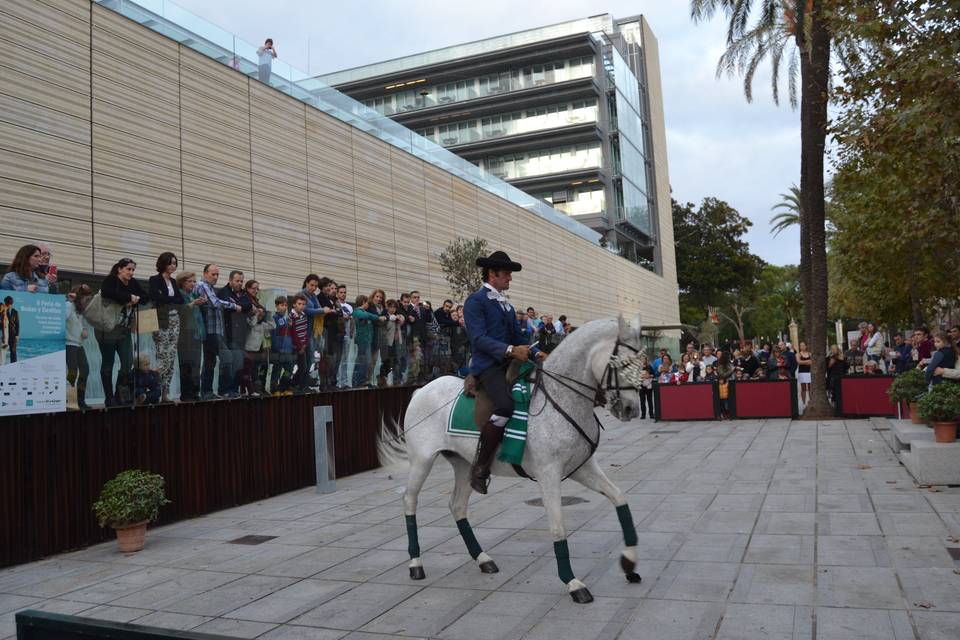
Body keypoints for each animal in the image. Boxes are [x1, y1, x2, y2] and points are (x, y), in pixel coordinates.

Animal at [380, 316, 644, 604]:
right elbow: (557, 527)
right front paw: (573, 583)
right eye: (622, 364)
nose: (631, 409)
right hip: (422, 460)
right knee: (409, 500)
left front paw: (629, 564)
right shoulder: (549, 475)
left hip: (463, 464)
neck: (560, 397)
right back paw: (416, 564)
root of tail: (421, 390)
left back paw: (483, 559)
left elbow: (620, 499)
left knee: (457, 505)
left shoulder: (583, 468)